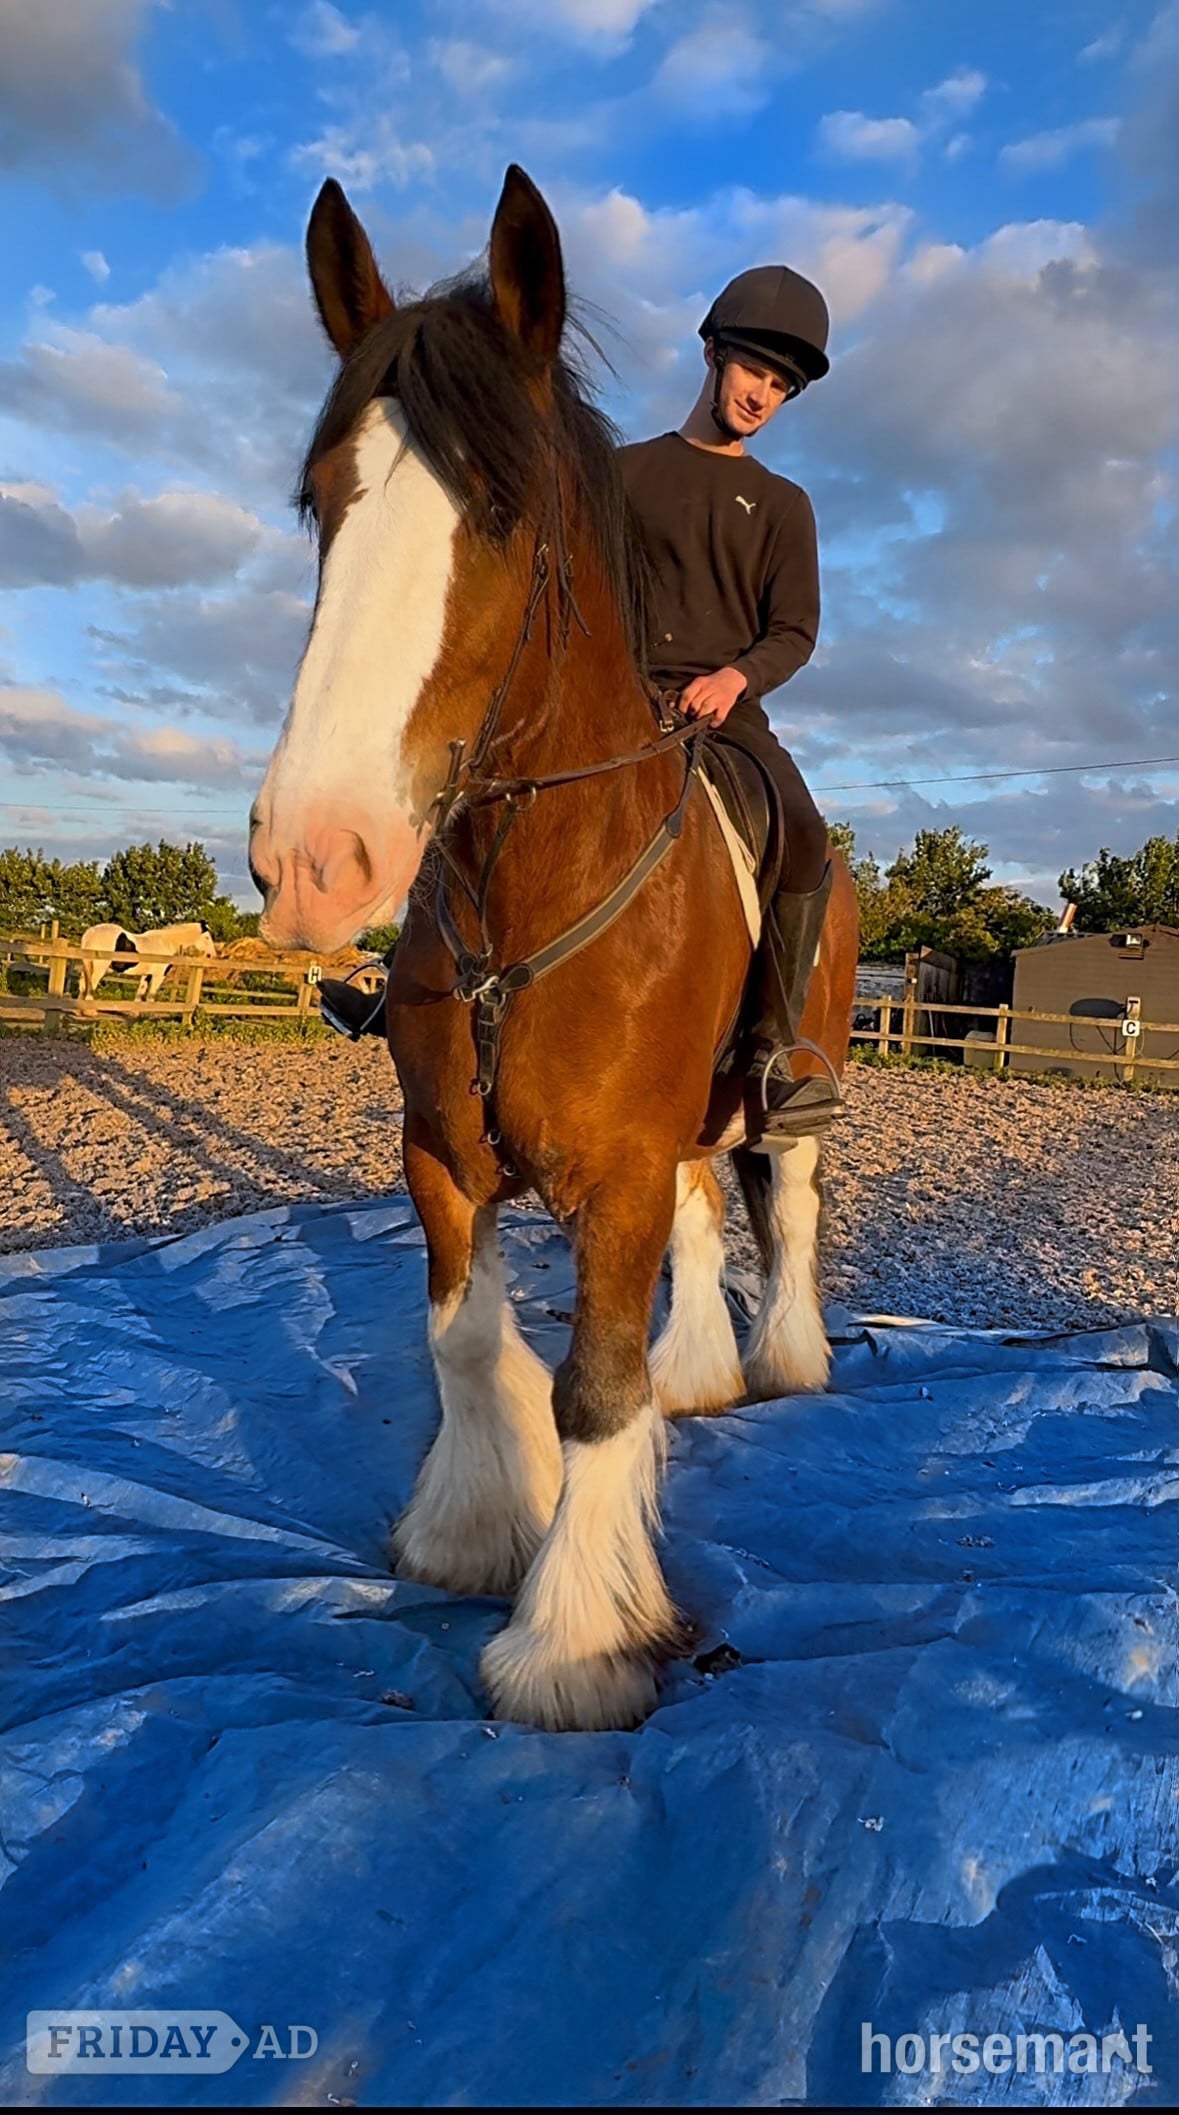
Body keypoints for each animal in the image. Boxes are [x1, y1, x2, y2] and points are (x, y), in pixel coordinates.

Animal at [78, 921, 216, 1002]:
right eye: (207, 937)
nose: (212, 955)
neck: (167, 943)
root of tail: (91, 931)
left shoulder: (146, 975)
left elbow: (140, 993)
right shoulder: (158, 976)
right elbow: (150, 997)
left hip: (87, 965)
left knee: (83, 984)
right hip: (99, 968)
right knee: (92, 984)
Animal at [251, 166, 859, 1732]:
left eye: (505, 513)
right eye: (321, 499)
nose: (315, 860)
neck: (523, 905)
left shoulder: (620, 1168)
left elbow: (596, 1388)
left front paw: (573, 1641)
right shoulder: (444, 1153)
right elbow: (466, 1340)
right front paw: (472, 1530)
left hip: (797, 1084)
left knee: (788, 1204)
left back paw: (784, 1361)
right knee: (709, 1219)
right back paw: (704, 1379)